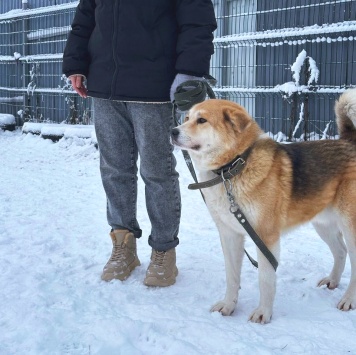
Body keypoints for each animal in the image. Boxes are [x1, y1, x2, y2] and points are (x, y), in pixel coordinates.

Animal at [170, 88, 356, 322]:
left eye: (201, 120)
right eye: (186, 118)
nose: (172, 131)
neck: (233, 167)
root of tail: (350, 141)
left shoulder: (266, 237)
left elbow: (265, 280)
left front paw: (263, 313)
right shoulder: (229, 235)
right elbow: (232, 276)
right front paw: (228, 306)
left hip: (349, 226)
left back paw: (348, 299)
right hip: (322, 224)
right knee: (340, 251)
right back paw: (332, 281)